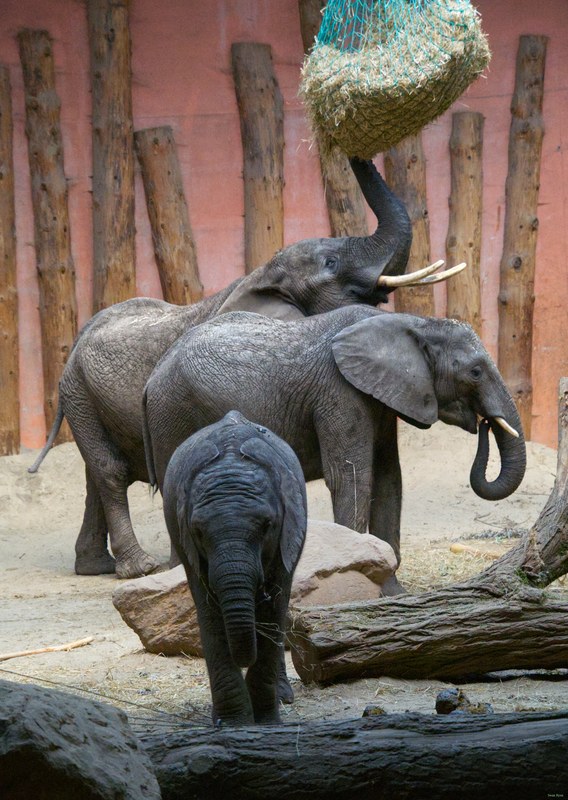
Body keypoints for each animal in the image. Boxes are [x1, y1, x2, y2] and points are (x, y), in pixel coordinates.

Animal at [27, 157, 439, 580]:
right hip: (78, 391)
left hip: (83, 397)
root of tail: (80, 335)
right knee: (108, 470)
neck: (262, 275)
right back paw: (139, 569)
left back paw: (95, 567)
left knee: (96, 474)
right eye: (331, 263)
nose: (352, 155)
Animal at [142, 307, 526, 591]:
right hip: (172, 413)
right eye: (475, 372)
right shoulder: (339, 393)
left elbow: (389, 480)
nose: (485, 423)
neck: (413, 322)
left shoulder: (381, 399)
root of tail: (152, 377)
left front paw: (393, 592)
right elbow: (352, 478)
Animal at [161, 410, 307, 725]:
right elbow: (210, 617)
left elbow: (274, 612)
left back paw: (282, 696)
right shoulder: (189, 547)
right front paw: (233, 723)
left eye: (267, 525)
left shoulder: (287, 539)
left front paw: (266, 722)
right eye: (198, 531)